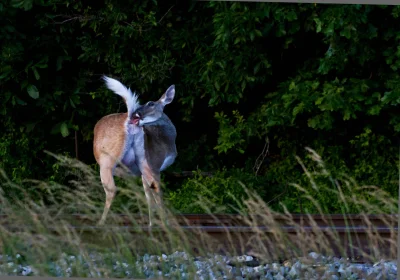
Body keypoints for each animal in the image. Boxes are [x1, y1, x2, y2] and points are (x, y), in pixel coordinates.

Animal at [93, 75, 177, 226]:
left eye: (151, 103)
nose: (136, 113)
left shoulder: (147, 168)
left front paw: (152, 222)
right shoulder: (153, 164)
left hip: (118, 162)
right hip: (116, 161)